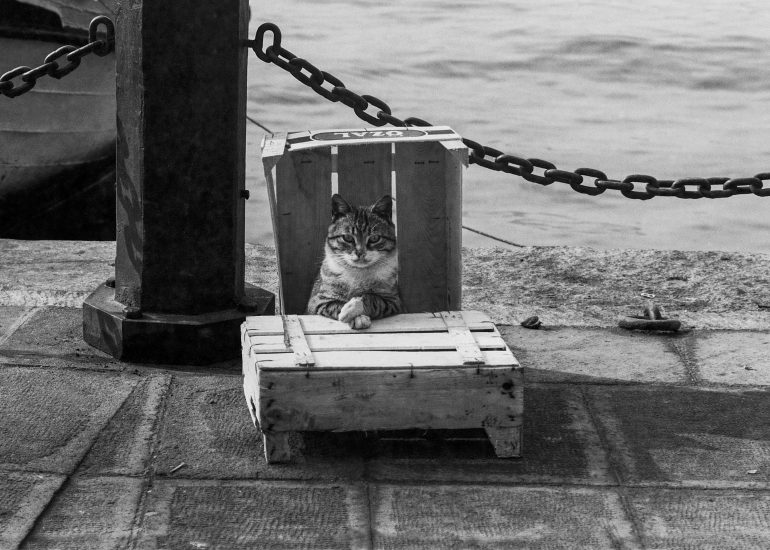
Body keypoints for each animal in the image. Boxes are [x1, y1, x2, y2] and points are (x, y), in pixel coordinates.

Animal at [306, 193, 403, 329]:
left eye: (374, 238)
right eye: (347, 237)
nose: (360, 253)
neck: (357, 272)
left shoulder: (393, 301)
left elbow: (372, 298)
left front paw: (354, 307)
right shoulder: (318, 301)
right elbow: (337, 304)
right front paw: (355, 316)